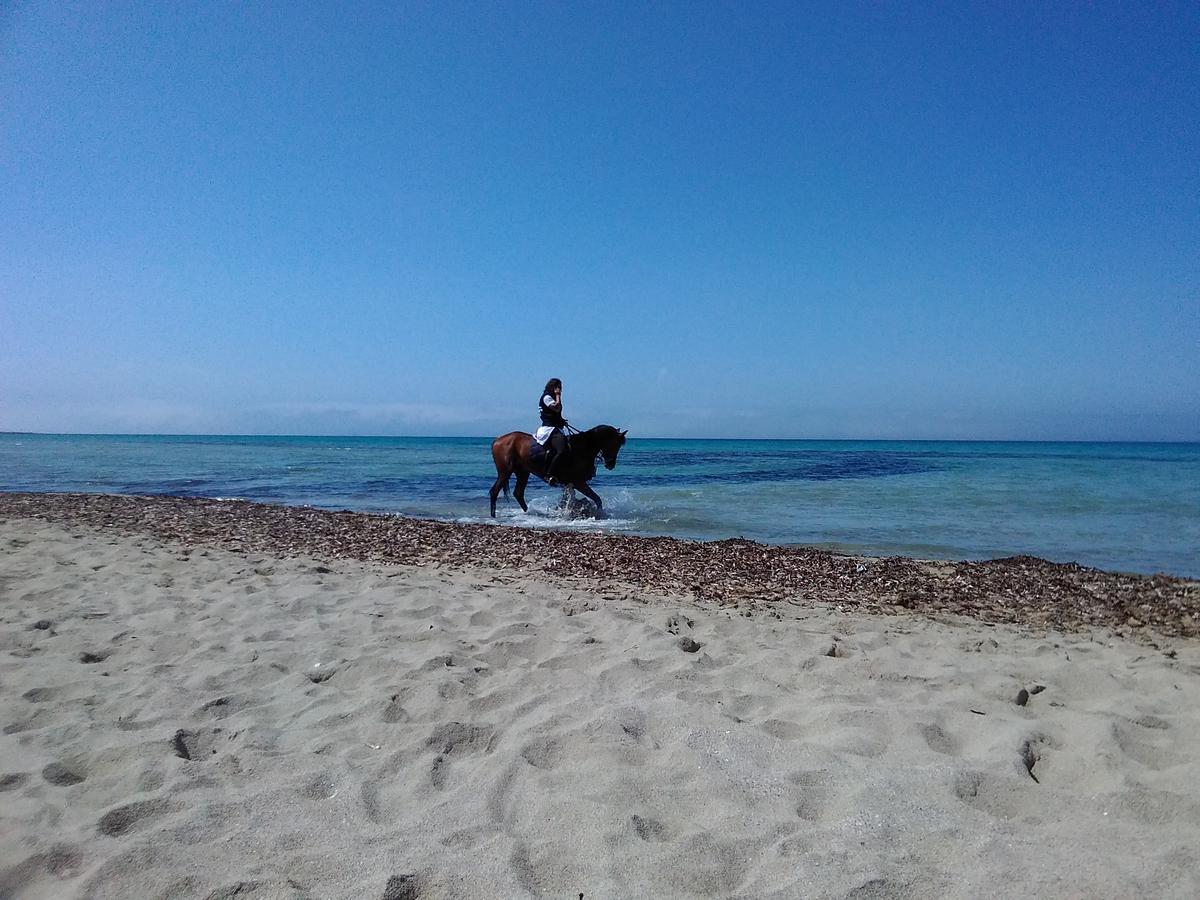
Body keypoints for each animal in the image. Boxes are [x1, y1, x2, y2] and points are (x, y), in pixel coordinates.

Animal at [492, 427, 628, 518]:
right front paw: (600, 514)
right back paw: (493, 515)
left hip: (523, 472)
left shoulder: (569, 484)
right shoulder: (579, 483)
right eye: (615, 444)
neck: (582, 449)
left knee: (518, 493)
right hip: (505, 472)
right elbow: (597, 499)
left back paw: (530, 513)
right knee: (495, 491)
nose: (610, 464)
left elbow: (570, 500)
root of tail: (498, 440)